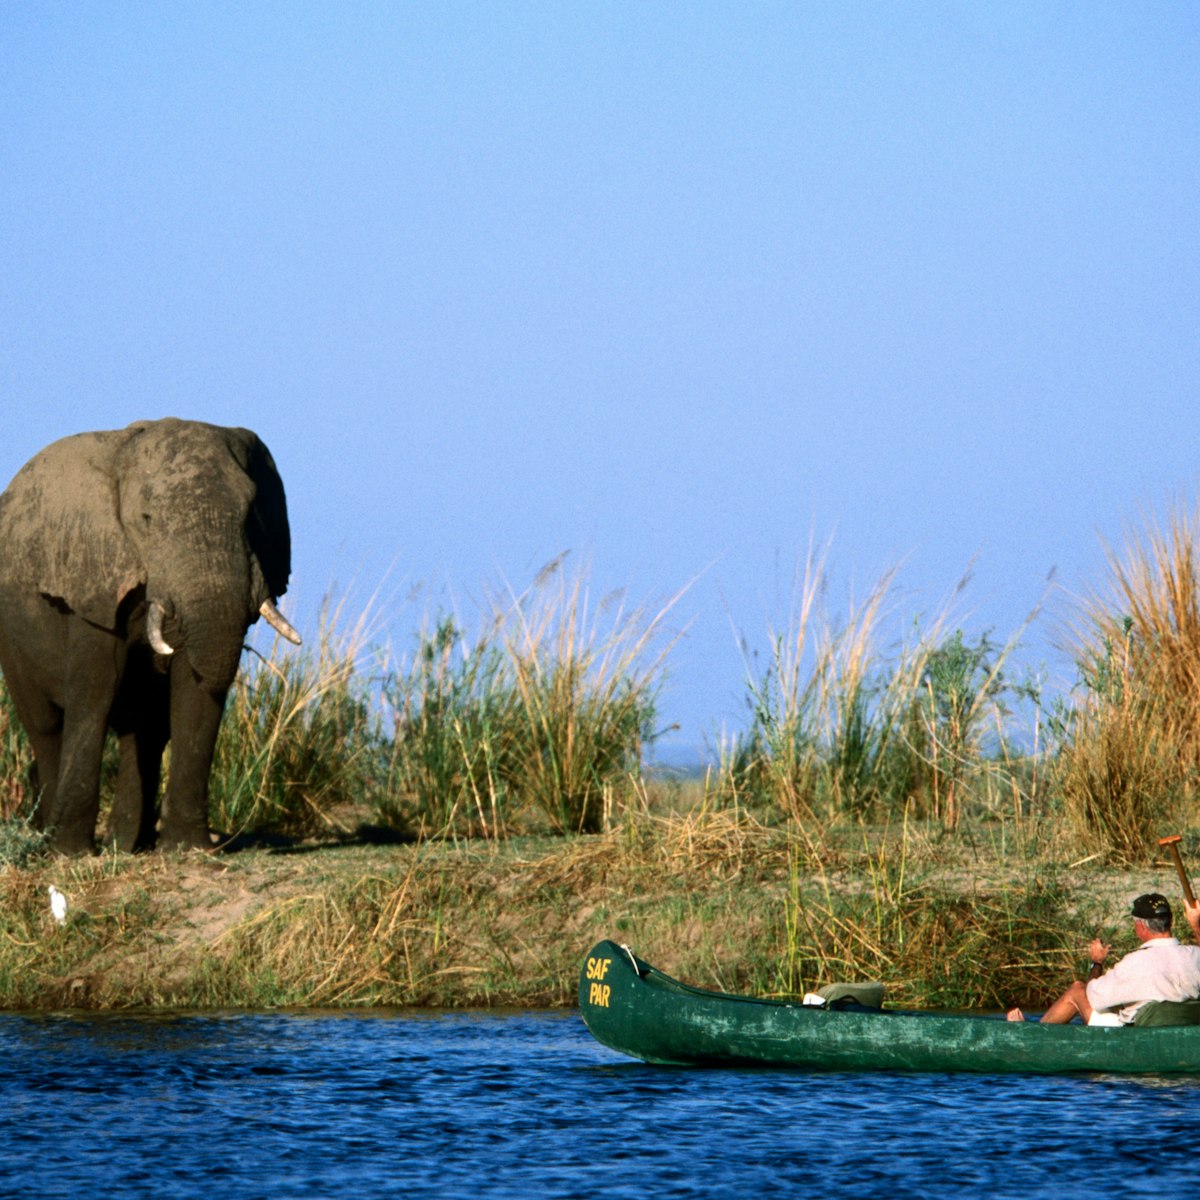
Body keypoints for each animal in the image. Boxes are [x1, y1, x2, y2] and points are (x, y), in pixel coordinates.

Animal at [0, 418, 301, 854]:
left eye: (250, 515)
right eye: (146, 519)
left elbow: (191, 688)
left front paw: (187, 848)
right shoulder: (92, 575)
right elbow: (94, 689)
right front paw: (71, 853)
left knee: (142, 728)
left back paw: (125, 845)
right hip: (11, 636)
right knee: (45, 725)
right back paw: (54, 839)